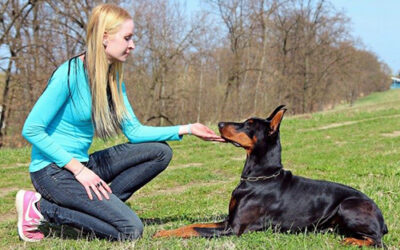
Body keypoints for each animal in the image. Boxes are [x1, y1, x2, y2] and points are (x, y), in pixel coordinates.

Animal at [154, 104, 388, 247]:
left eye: (249, 124)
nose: (219, 124)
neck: (259, 177)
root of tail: (382, 219)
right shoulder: (228, 220)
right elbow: (189, 226)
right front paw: (162, 232)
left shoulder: (234, 229)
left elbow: (195, 229)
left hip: (347, 206)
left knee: (378, 240)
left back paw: (353, 241)